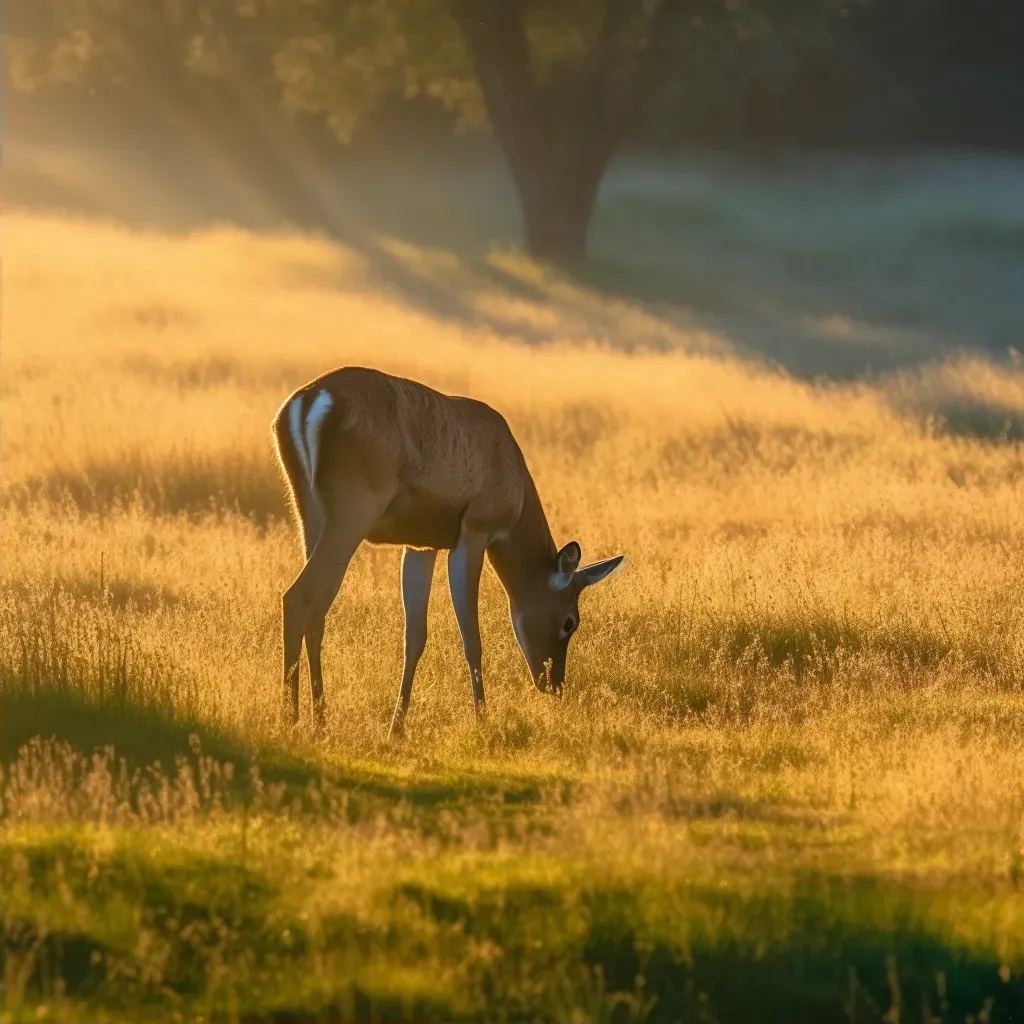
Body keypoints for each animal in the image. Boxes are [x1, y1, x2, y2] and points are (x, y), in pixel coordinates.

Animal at [272, 368, 622, 737]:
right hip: (349, 520)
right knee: (297, 598)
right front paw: (482, 719)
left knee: (316, 610)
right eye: (571, 621)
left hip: (310, 517)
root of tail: (311, 398)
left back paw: (319, 721)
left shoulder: (421, 546)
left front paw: (397, 728)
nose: (553, 685)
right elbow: (471, 635)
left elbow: (415, 636)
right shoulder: (473, 536)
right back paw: (295, 720)